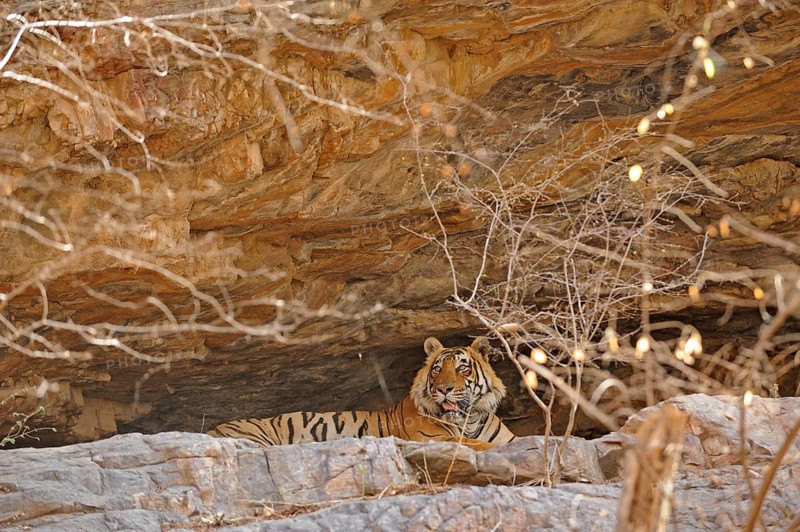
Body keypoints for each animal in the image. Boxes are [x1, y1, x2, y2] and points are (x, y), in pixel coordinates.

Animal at [207, 336, 516, 451]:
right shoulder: (431, 439)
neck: (470, 419)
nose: (444, 390)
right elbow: (475, 444)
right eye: (437, 370)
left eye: (462, 368)